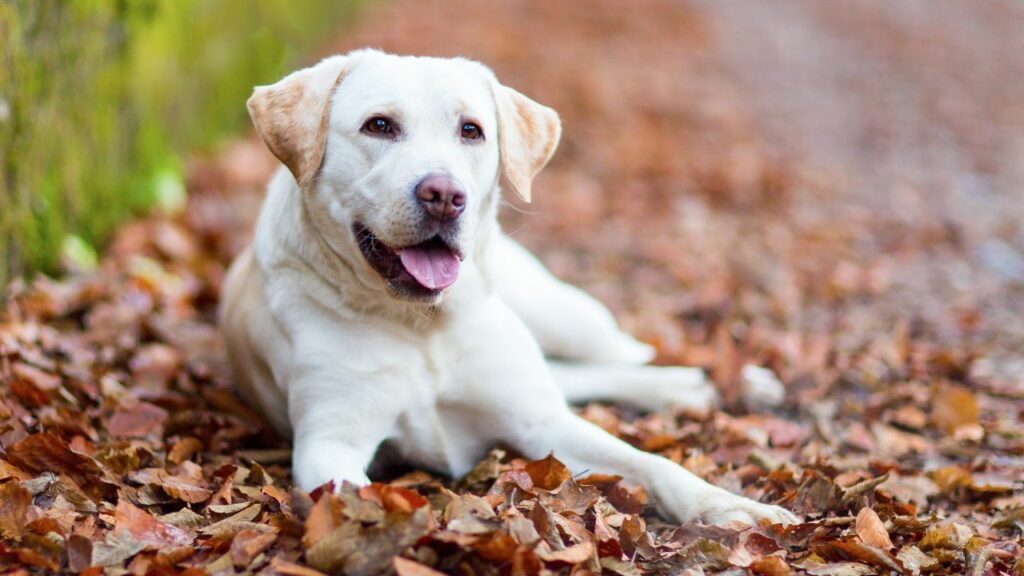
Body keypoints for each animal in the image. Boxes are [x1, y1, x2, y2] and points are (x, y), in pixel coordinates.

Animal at [222, 49, 798, 524]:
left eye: (471, 131)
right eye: (379, 125)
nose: (444, 195)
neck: (422, 325)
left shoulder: (541, 423)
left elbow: (651, 462)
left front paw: (730, 506)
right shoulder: (330, 442)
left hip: (563, 315)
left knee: (625, 353)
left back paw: (726, 380)